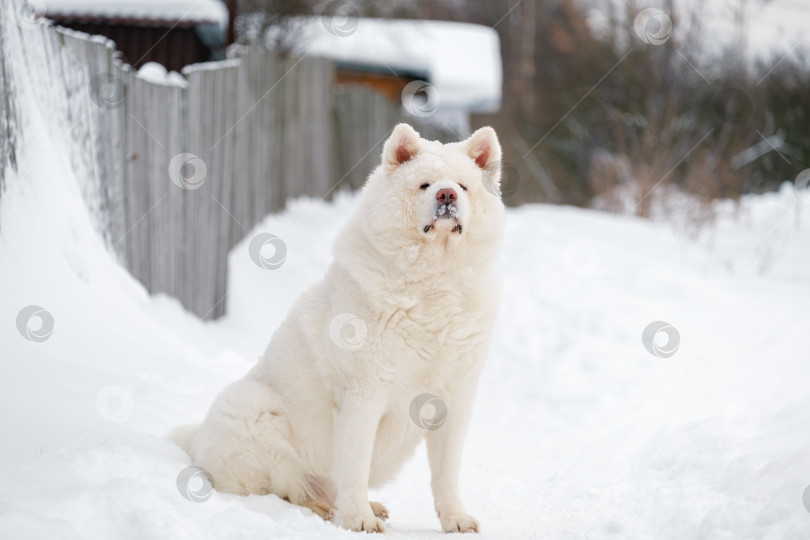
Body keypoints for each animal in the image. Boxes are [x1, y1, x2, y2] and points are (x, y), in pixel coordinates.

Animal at [174, 124, 502, 532]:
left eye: (463, 185)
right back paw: (326, 509)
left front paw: (455, 519)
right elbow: (355, 464)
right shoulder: (363, 394)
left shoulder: (454, 399)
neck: (433, 281)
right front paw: (358, 520)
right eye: (425, 185)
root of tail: (195, 442)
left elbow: (446, 471)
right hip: (253, 409)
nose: (446, 195)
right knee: (287, 488)